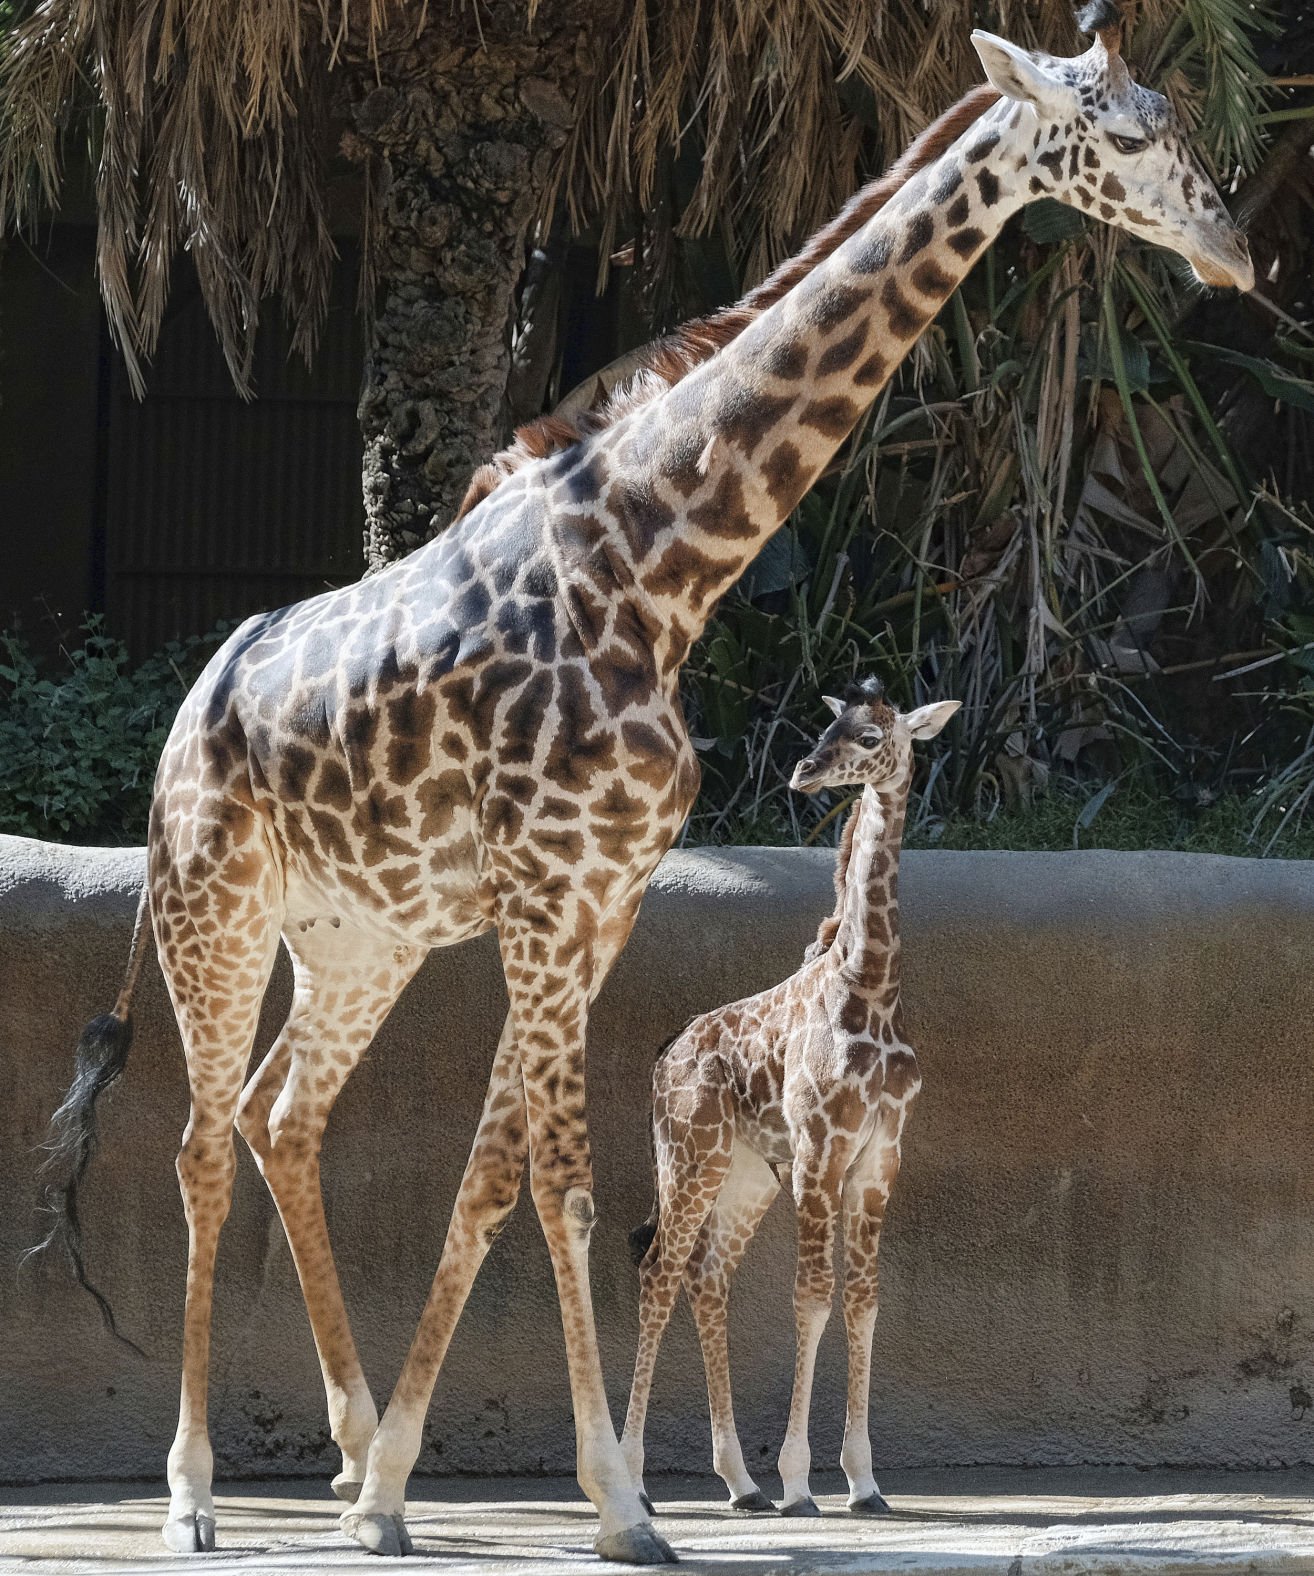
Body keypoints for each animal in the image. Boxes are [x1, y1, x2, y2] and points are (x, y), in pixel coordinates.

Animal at [620, 677, 957, 1512]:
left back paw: (740, 1482)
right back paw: (635, 1479)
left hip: (745, 1175)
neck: (871, 991)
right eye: (825, 726)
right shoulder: (818, 1155)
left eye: (871, 737)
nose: (804, 771)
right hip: (691, 1154)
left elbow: (864, 1302)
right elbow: (812, 1298)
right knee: (660, 1271)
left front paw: (864, 1480)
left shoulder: (877, 1161)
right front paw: (802, 1479)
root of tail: (664, 1057)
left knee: (707, 1278)